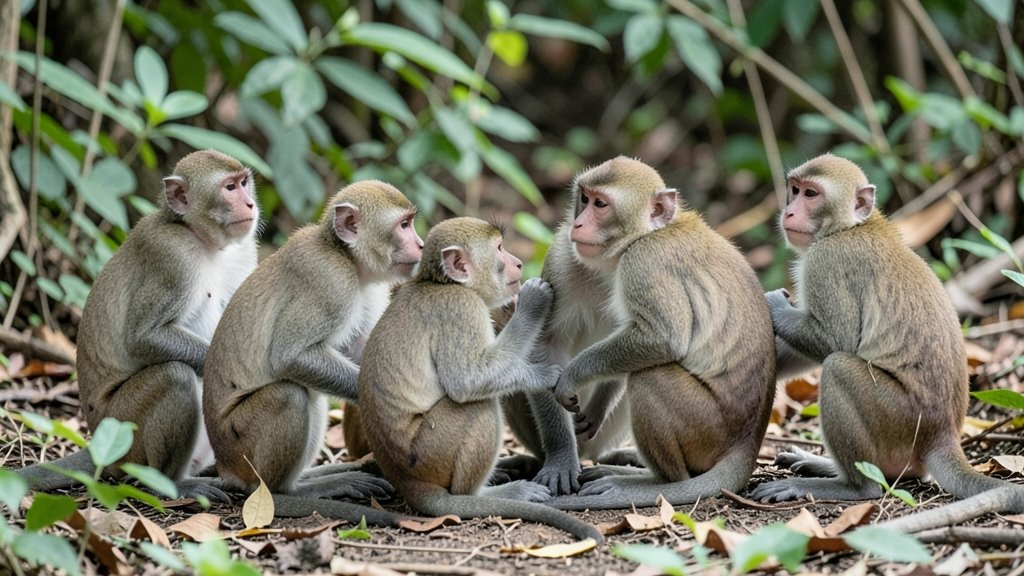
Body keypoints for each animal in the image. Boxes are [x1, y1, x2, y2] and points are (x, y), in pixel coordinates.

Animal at [14, 150, 259, 500]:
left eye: (243, 183)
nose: (250, 203)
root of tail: (97, 438)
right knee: (175, 375)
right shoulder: (172, 257)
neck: (202, 239)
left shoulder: (244, 252)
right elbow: (143, 337)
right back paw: (173, 481)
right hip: (124, 426)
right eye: (229, 188)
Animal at [203, 180, 422, 510]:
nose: (420, 244)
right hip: (239, 444)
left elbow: (358, 350)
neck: (345, 256)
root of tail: (225, 465)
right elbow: (291, 357)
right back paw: (292, 490)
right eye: (404, 225)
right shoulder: (331, 281)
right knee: (290, 394)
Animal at [358, 217, 603, 542]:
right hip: (431, 452)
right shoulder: (462, 309)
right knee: (479, 406)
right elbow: (467, 382)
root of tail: (408, 482)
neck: (442, 284)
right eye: (499, 248)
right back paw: (488, 494)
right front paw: (534, 316)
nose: (518, 262)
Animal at [536, 156, 776, 511]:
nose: (576, 225)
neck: (649, 233)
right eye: (584, 198)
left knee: (650, 376)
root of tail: (748, 445)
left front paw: (572, 377)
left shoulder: (642, 264)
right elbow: (550, 342)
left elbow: (662, 339)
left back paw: (651, 482)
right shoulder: (571, 256)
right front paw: (566, 451)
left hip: (706, 427)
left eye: (600, 204)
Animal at [749, 153, 1024, 523]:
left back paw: (852, 487)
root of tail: (944, 435)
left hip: (899, 418)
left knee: (837, 367)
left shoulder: (826, 262)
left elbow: (834, 340)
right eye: (794, 189)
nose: (789, 212)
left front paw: (774, 304)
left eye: (811, 194)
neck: (850, 226)